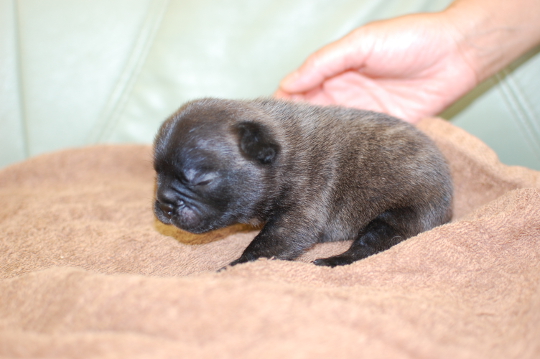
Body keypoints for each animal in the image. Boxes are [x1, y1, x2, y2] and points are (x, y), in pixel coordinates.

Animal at [154, 98, 454, 268]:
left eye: (201, 180)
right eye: (157, 173)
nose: (164, 206)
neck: (280, 159)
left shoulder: (298, 213)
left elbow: (266, 246)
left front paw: (235, 265)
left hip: (397, 216)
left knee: (370, 247)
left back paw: (332, 260)